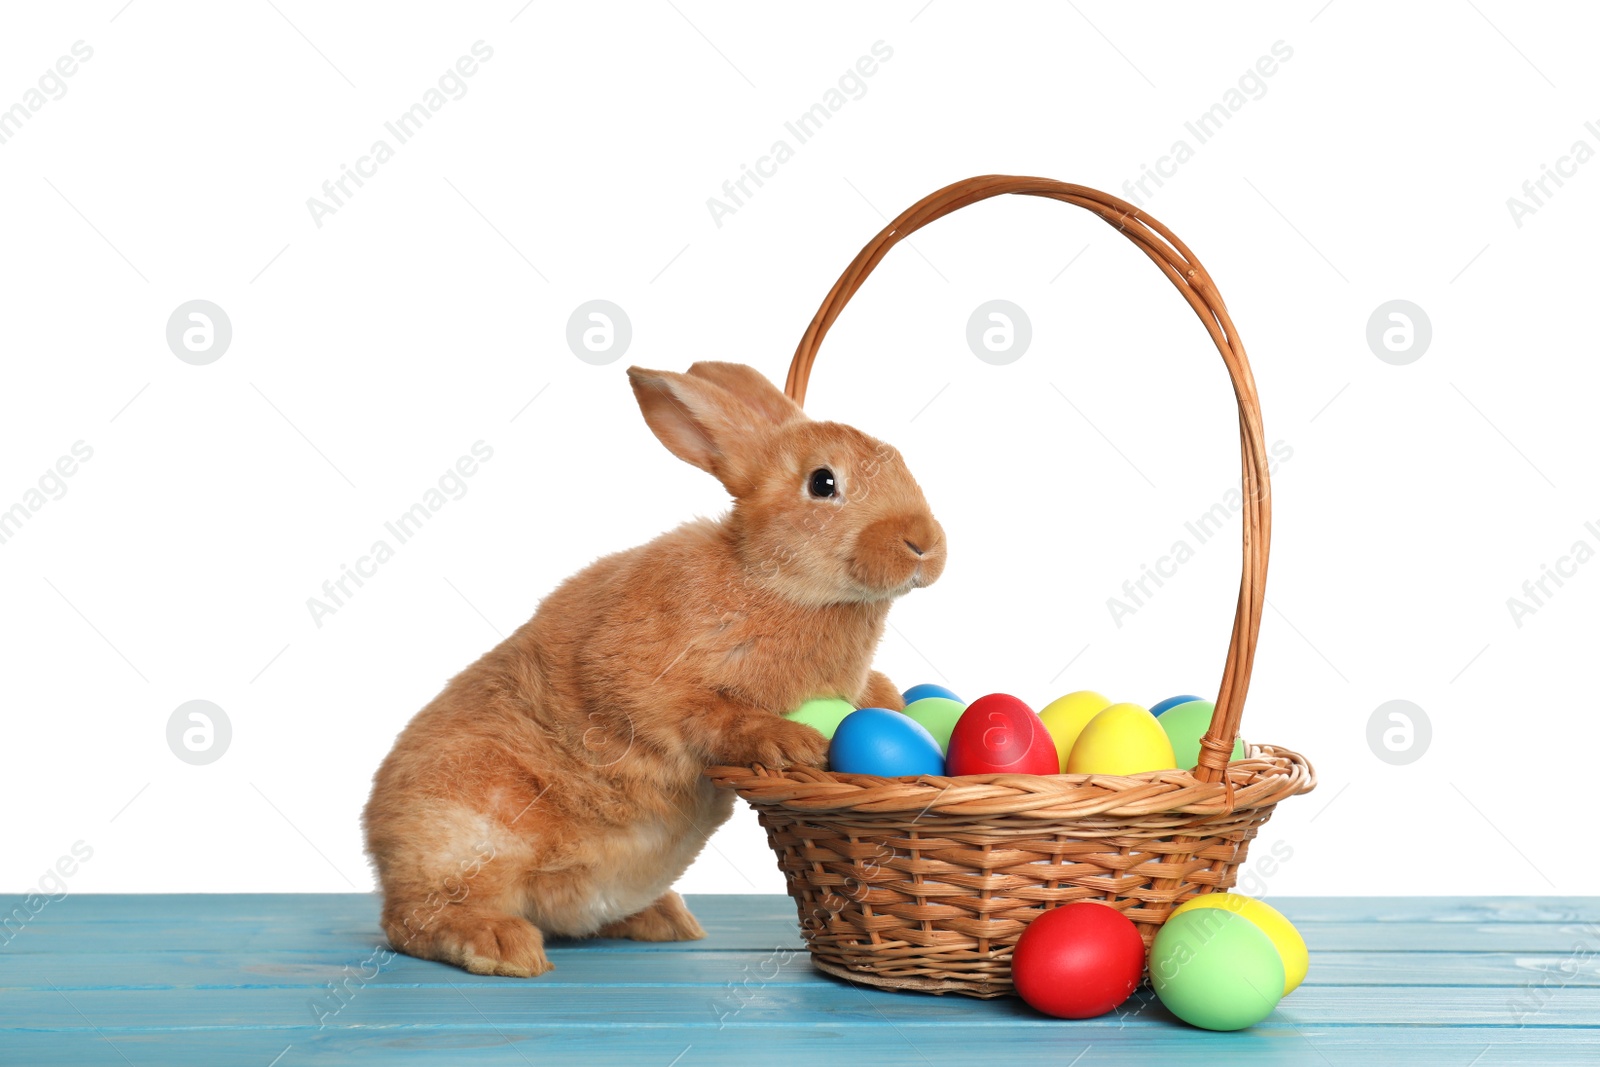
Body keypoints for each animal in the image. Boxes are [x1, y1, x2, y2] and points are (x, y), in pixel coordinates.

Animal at [360, 361, 947, 979]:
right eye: (823, 483)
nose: (923, 543)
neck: (771, 581)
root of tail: (376, 837)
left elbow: (872, 696)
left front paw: (891, 705)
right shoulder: (647, 683)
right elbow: (712, 715)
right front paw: (791, 743)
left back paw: (664, 920)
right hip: (467, 831)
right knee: (415, 919)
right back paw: (502, 946)